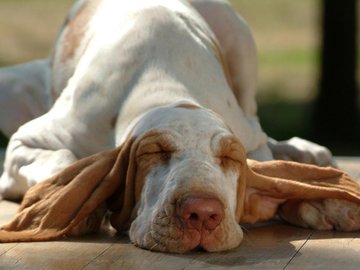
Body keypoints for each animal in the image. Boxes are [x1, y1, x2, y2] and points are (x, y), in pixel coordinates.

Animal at [0, 0, 360, 253]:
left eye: (229, 158)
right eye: (153, 152)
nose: (202, 213)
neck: (165, 87)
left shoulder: (250, 142)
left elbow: (271, 176)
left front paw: (320, 203)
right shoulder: (29, 139)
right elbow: (63, 159)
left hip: (239, 41)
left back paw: (306, 154)